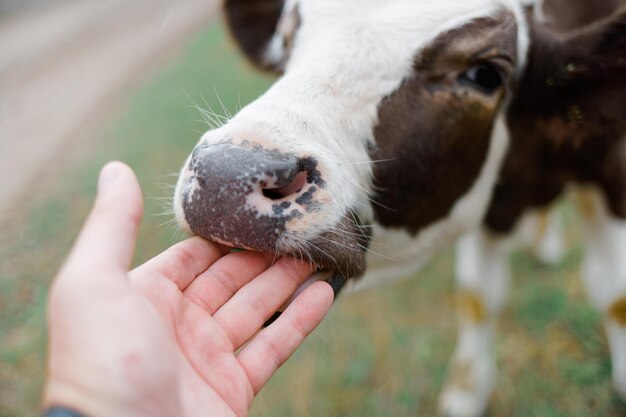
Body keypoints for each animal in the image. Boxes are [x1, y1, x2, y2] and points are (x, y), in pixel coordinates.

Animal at [172, 1, 624, 414]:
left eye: (484, 74)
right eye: (286, 40)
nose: (227, 176)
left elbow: (614, 295)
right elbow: (477, 296)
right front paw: (466, 393)